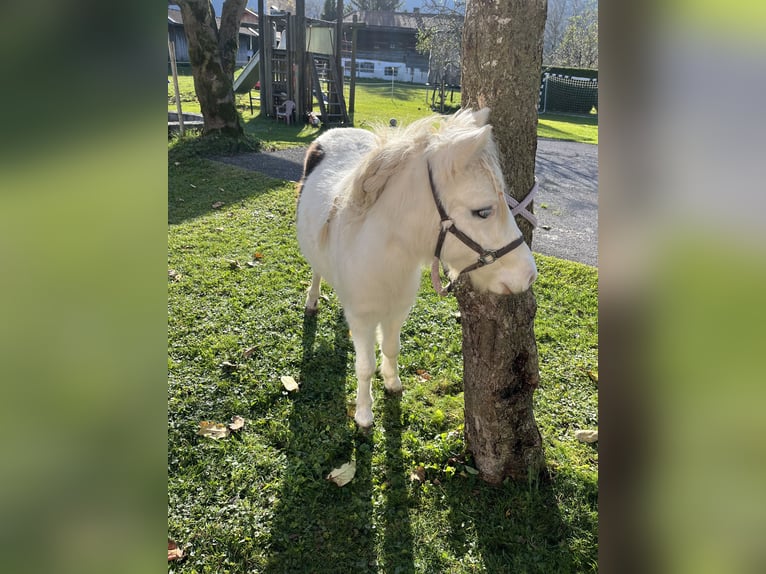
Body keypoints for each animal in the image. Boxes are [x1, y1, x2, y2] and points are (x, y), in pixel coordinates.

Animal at [296, 110, 536, 430]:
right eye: (483, 211)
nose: (528, 274)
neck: (385, 255)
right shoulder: (362, 319)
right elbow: (364, 366)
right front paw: (364, 413)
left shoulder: (397, 311)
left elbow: (391, 349)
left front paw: (392, 383)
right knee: (316, 273)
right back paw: (312, 301)